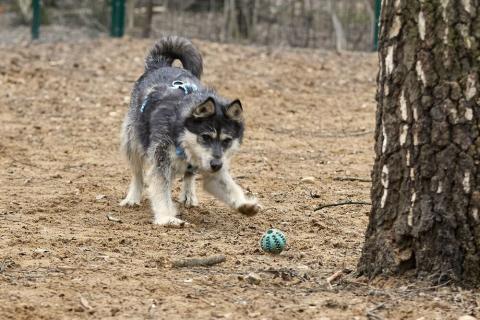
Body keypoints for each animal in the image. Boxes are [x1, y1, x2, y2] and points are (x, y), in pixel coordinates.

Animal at [120, 36, 262, 226]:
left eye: (227, 140)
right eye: (205, 137)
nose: (216, 165)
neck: (179, 133)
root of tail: (160, 65)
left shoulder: (214, 170)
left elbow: (229, 186)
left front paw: (244, 204)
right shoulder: (161, 163)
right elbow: (161, 191)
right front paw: (167, 217)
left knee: (188, 175)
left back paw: (189, 195)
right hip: (133, 142)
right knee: (137, 175)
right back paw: (133, 197)